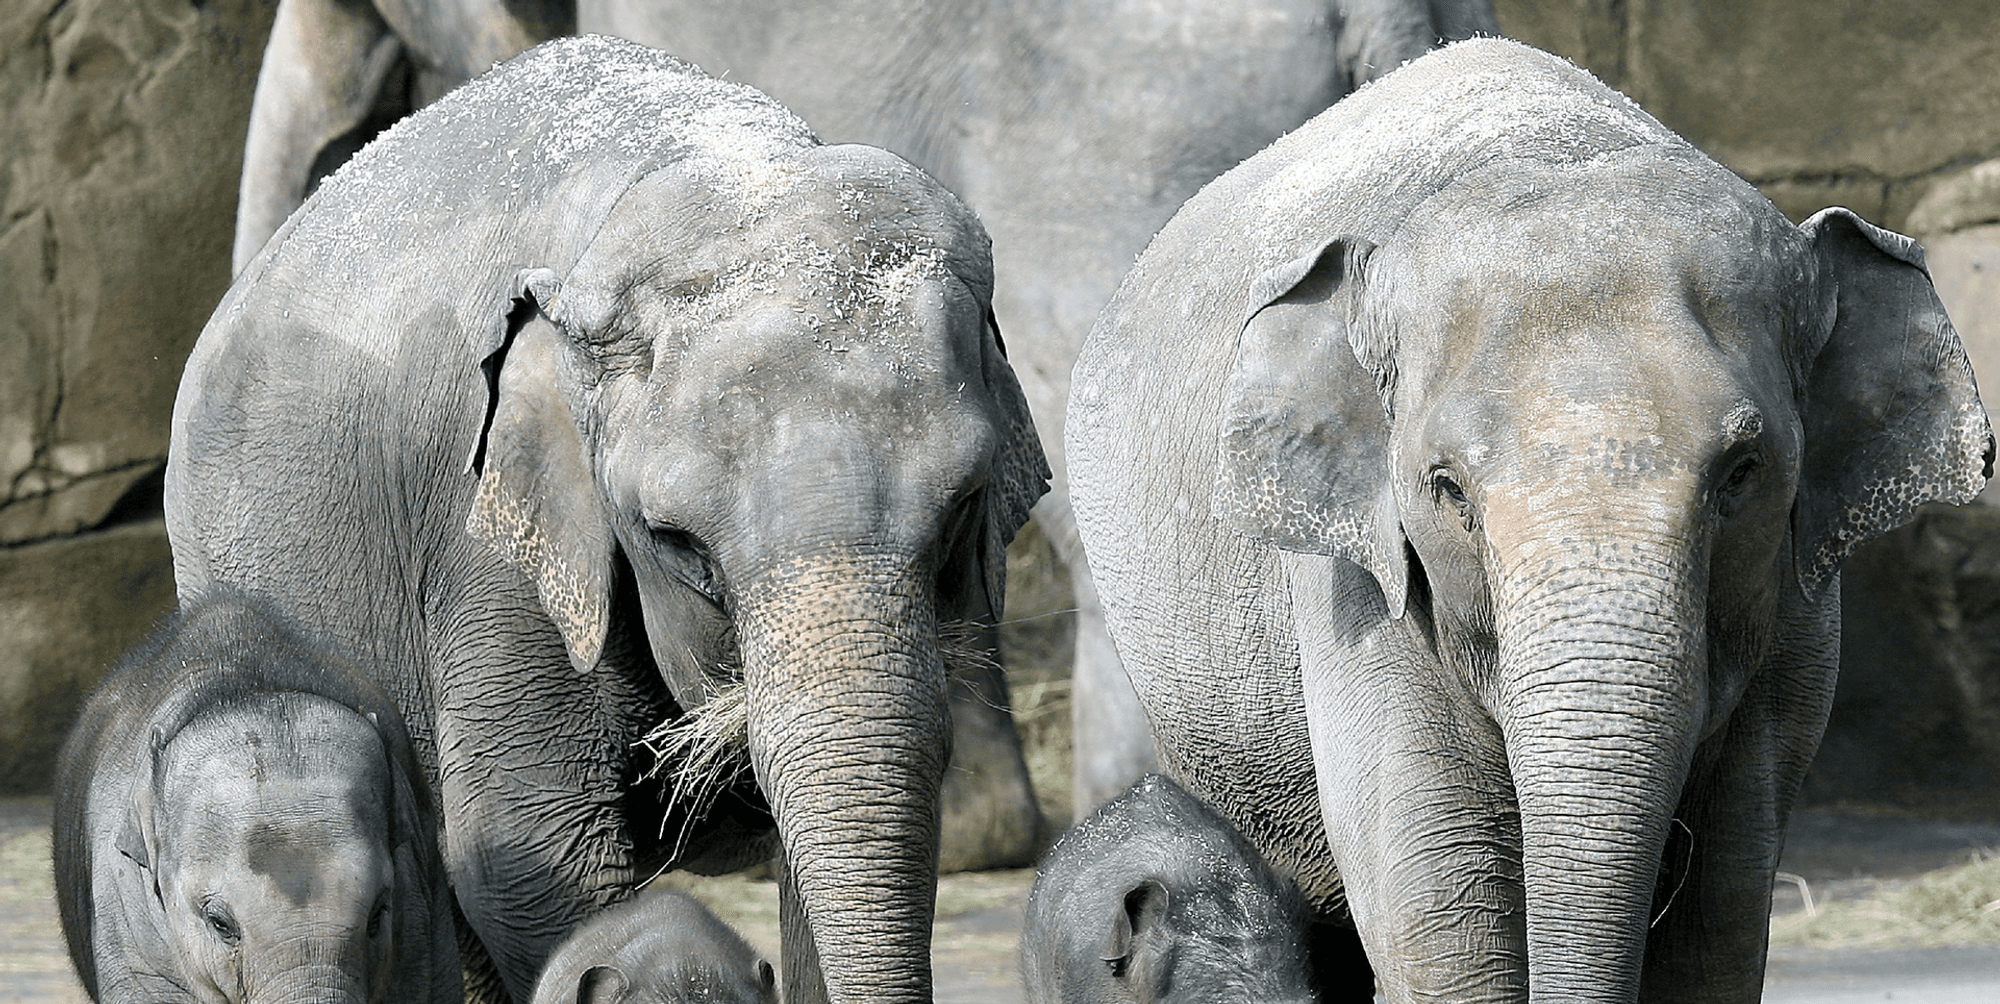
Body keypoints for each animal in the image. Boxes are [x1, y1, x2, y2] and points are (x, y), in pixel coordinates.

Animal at [1067, 38, 1992, 1004]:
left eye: (1742, 472)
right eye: (1448, 490)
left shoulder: (1798, 597)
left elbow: (1723, 910)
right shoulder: (1355, 584)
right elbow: (1438, 899)